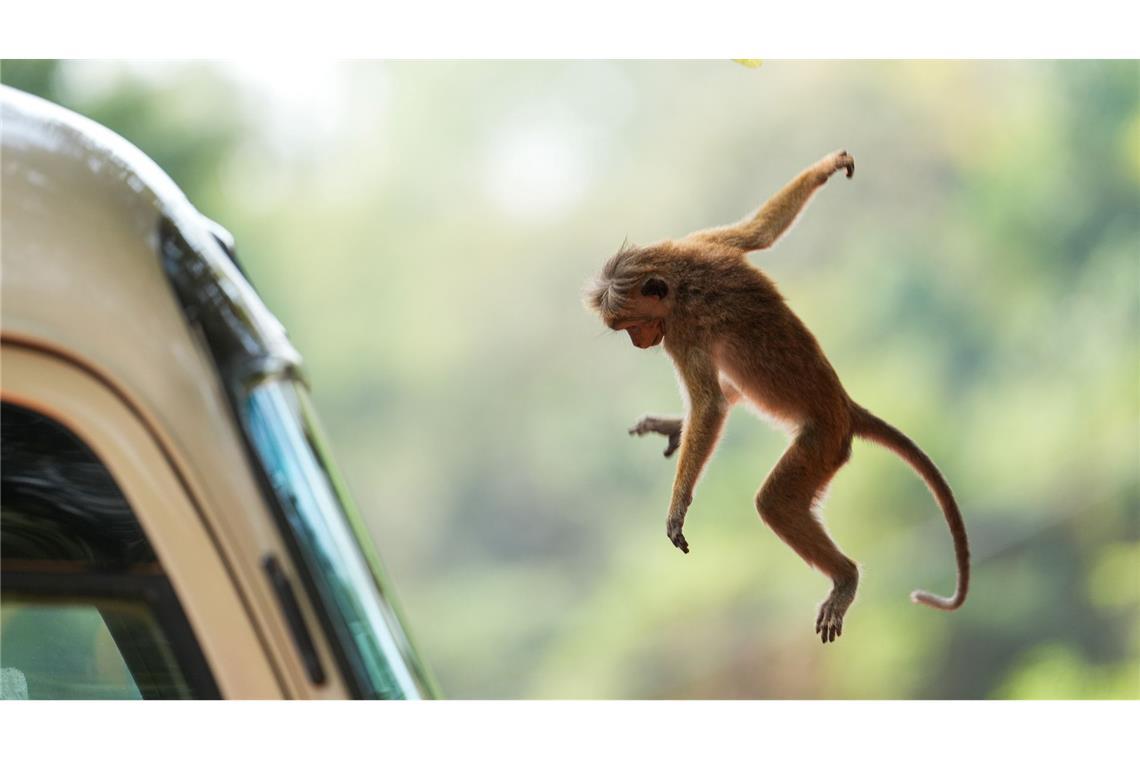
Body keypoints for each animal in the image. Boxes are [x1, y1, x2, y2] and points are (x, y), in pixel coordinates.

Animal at [585, 150, 969, 644]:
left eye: (632, 325)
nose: (637, 343)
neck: (679, 277)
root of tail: (845, 407)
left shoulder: (683, 331)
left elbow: (709, 404)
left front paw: (678, 507)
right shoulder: (702, 242)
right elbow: (758, 233)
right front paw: (827, 167)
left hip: (823, 444)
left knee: (774, 500)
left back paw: (845, 578)